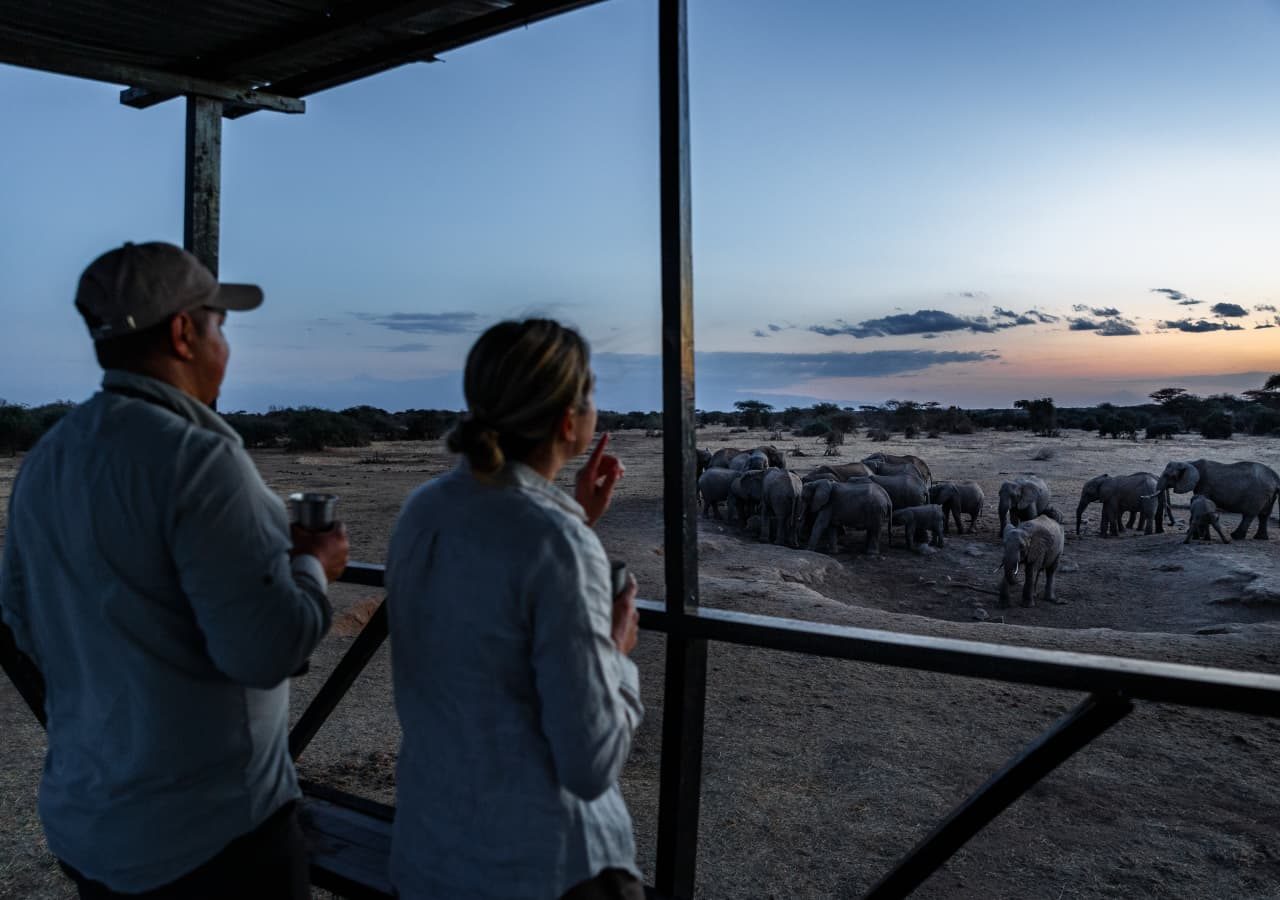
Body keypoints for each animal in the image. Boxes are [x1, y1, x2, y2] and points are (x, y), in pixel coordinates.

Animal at [1152, 460, 1280, 537]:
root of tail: (1276, 479)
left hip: (1257, 495)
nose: (1170, 524)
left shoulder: (1204, 485)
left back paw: (1235, 536)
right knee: (1264, 515)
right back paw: (1260, 538)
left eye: (1169, 476)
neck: (1189, 462)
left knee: (1249, 515)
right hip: (1270, 495)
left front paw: (1191, 533)